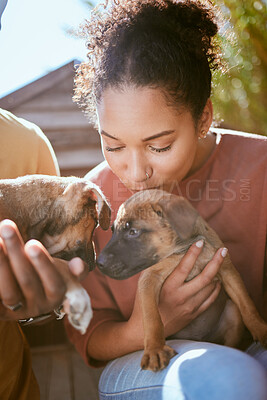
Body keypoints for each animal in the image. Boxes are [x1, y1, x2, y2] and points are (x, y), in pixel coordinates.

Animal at [98, 189, 267, 370]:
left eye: (133, 232)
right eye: (113, 231)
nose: (98, 262)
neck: (182, 250)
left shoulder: (227, 269)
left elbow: (247, 304)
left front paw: (260, 329)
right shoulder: (149, 279)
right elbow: (152, 318)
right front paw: (155, 349)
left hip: (232, 312)